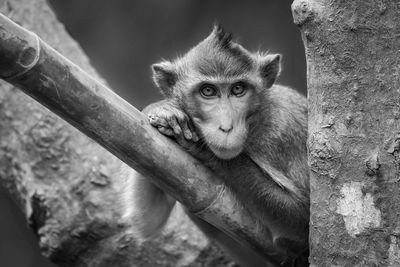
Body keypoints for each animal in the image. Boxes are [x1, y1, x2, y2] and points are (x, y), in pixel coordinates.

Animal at [118, 25, 306, 267]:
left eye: (238, 89)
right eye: (208, 91)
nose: (226, 127)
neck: (255, 123)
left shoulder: (284, 133)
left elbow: (303, 216)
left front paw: (200, 146)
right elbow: (147, 221)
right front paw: (161, 109)